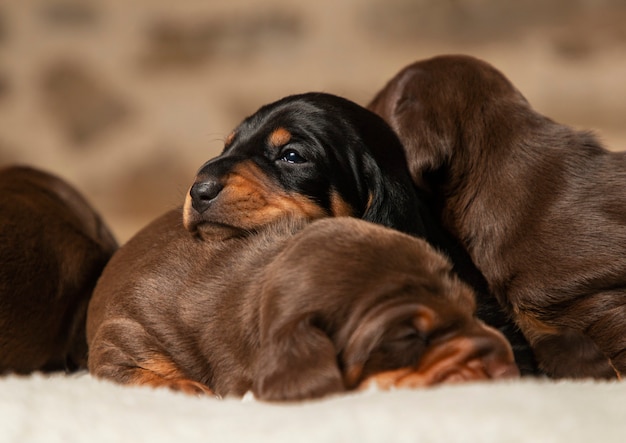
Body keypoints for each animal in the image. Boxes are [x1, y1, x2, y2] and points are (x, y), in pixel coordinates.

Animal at [88, 212, 516, 402]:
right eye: (409, 335)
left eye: (471, 308)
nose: (506, 366)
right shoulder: (122, 336)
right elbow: (133, 371)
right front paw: (186, 387)